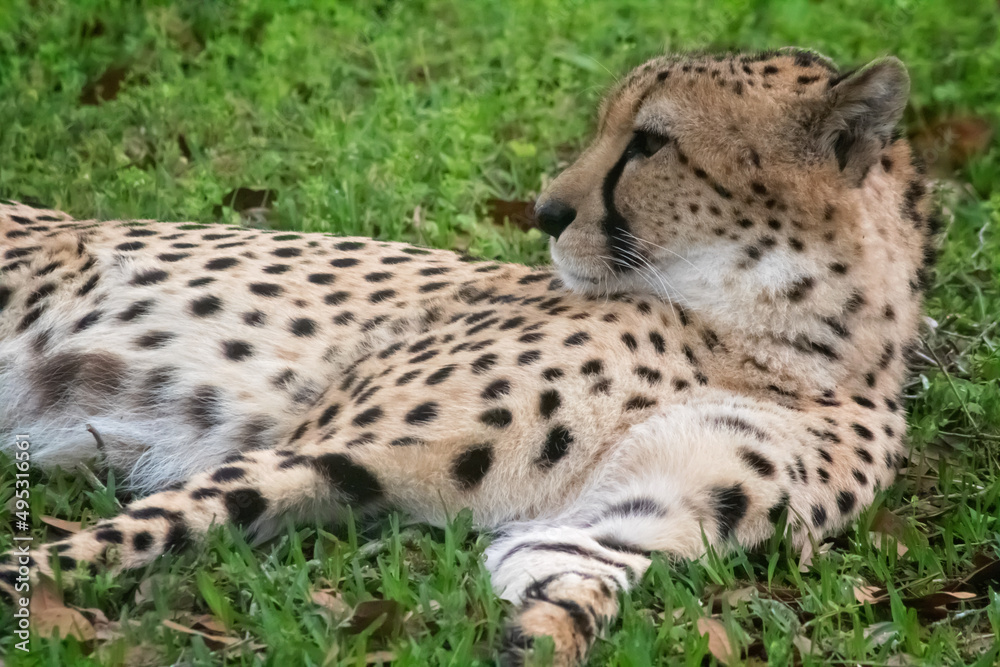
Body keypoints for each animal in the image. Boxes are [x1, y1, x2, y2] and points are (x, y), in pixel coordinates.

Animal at [0, 47, 937, 665]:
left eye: (650, 142)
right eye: (615, 130)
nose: (545, 213)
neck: (781, 339)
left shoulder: (639, 513)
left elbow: (585, 573)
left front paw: (544, 632)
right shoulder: (328, 448)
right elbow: (128, 535)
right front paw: (27, 582)